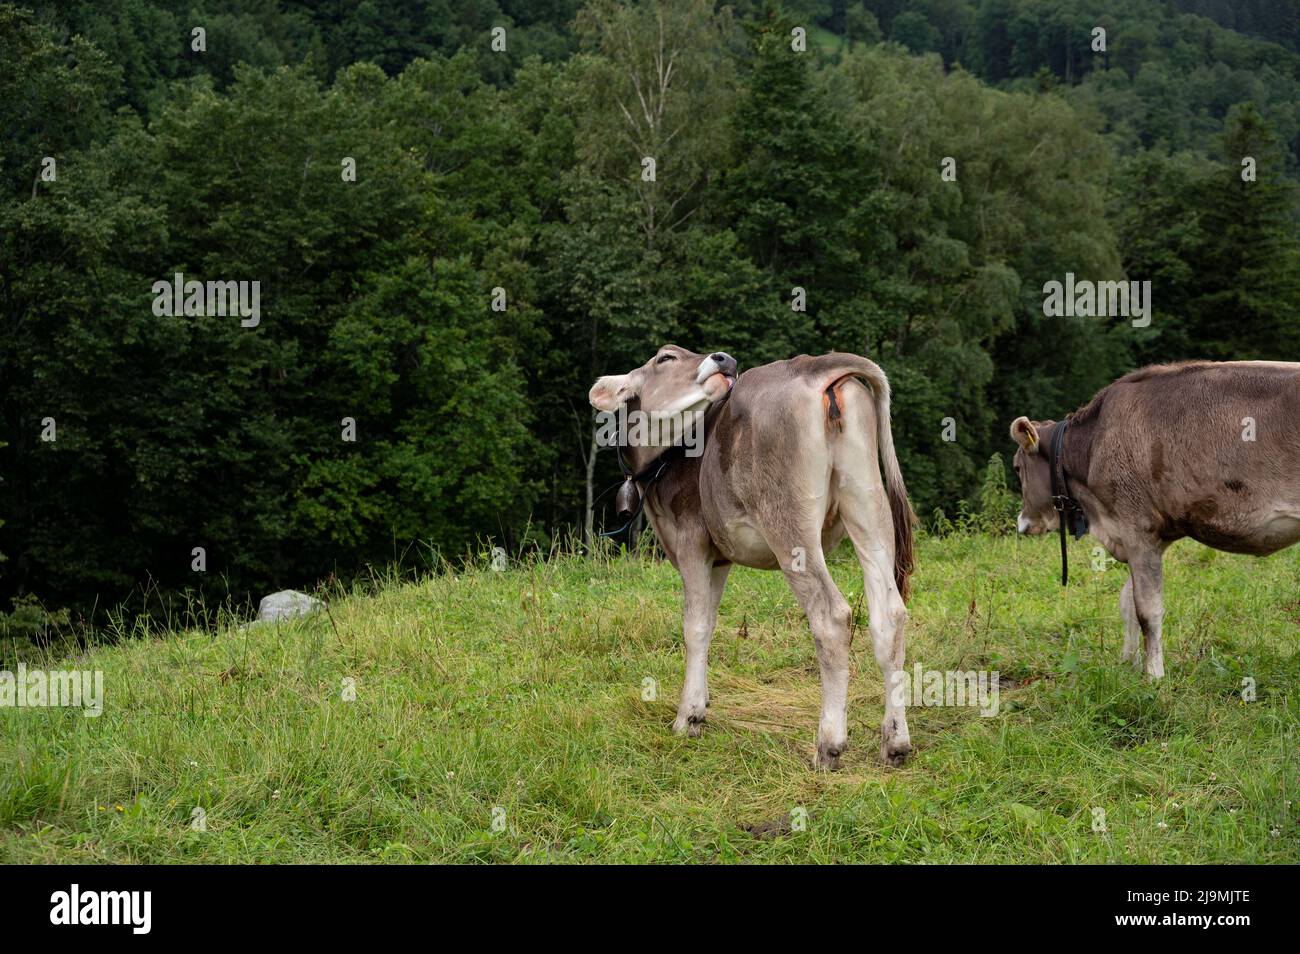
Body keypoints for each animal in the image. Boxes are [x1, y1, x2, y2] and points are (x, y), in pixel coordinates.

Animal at [590, 343, 915, 769]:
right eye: (666, 359)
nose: (724, 359)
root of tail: (815, 364)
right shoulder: (719, 557)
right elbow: (710, 622)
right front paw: (702, 705)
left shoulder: (691, 542)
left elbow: (694, 627)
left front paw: (686, 717)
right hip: (868, 503)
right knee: (889, 613)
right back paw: (895, 742)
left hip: (789, 524)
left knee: (831, 616)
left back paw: (829, 744)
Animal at [1008, 358, 1300, 681]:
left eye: (1017, 467)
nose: (1022, 523)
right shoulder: (1145, 534)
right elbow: (1127, 602)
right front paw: (1129, 663)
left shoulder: (1137, 526)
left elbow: (1148, 610)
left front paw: (1154, 676)